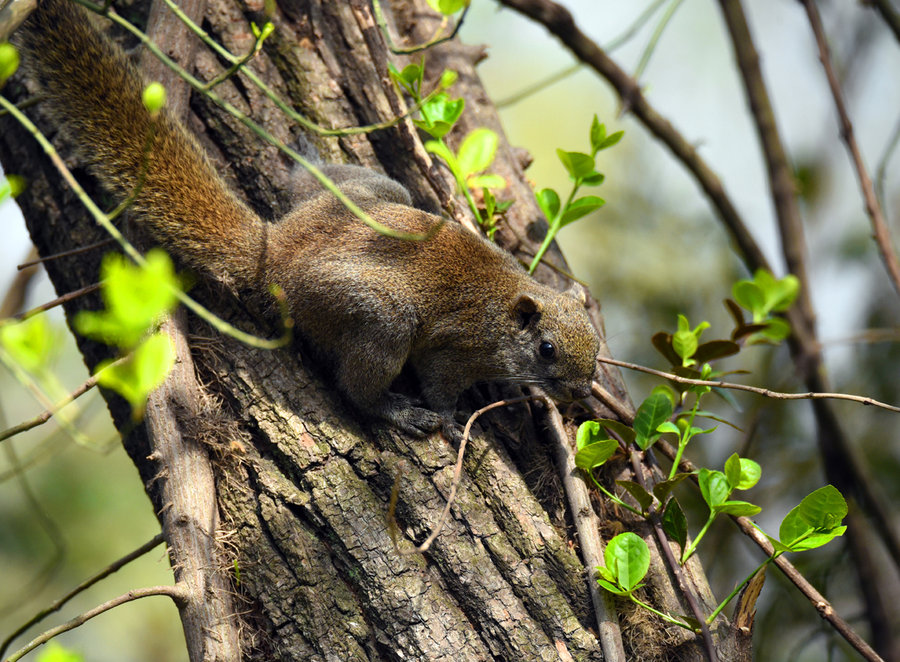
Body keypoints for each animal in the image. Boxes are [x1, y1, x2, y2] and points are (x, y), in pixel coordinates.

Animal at [14, 0, 600, 440]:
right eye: (547, 350)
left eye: (595, 345)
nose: (580, 391)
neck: (506, 308)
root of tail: (273, 249)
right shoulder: (457, 349)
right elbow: (440, 386)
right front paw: (455, 420)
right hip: (377, 317)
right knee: (356, 388)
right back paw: (396, 412)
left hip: (372, 196)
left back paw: (306, 164)